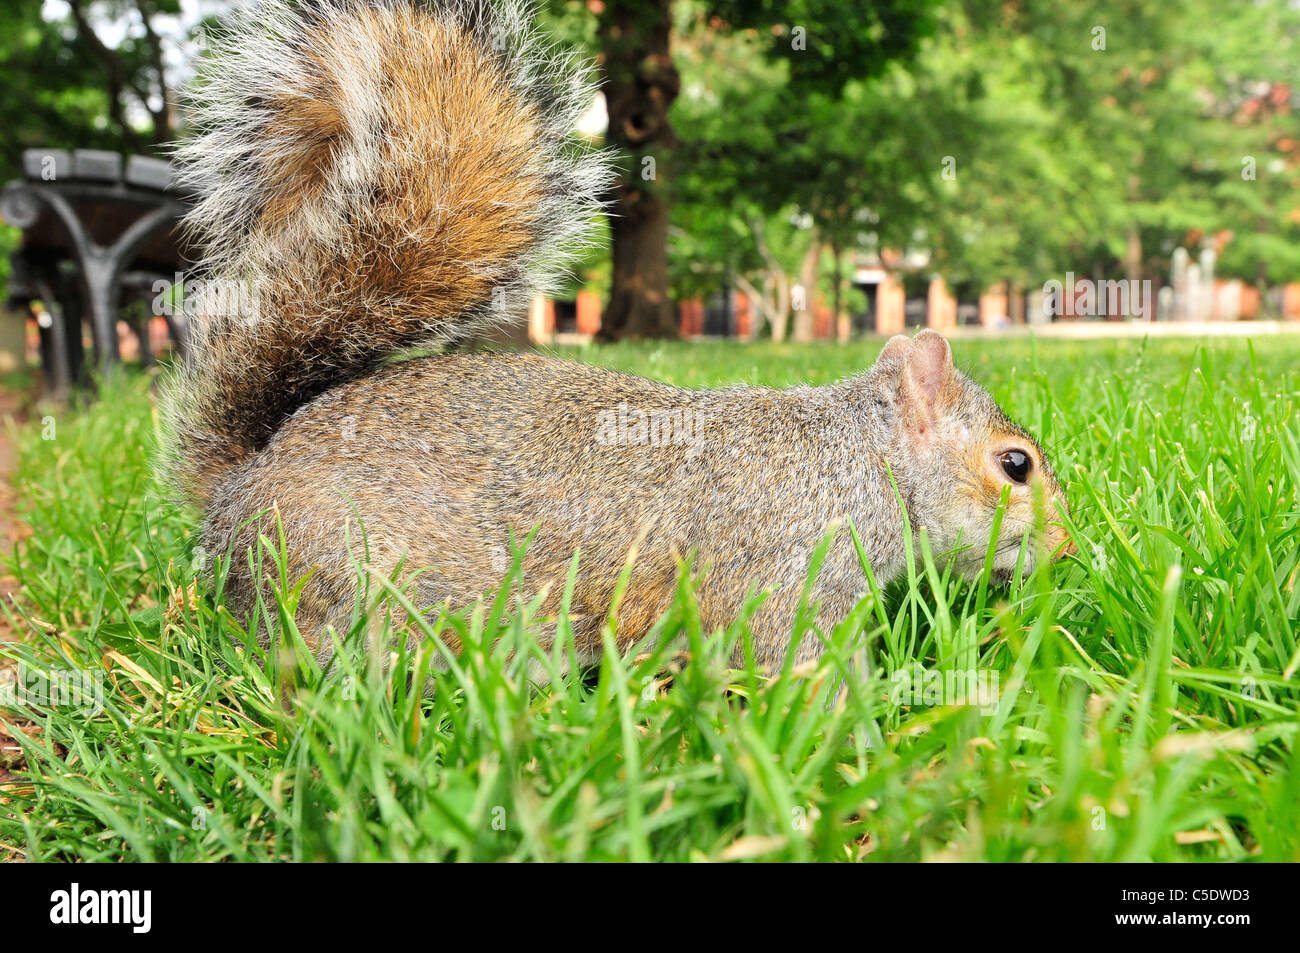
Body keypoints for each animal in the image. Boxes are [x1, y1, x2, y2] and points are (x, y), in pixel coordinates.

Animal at [162, 0, 1076, 670]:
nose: (1068, 549)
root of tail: (241, 481)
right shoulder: (787, 573)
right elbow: (795, 661)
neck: (859, 458)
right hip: (338, 575)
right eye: (1015, 465)